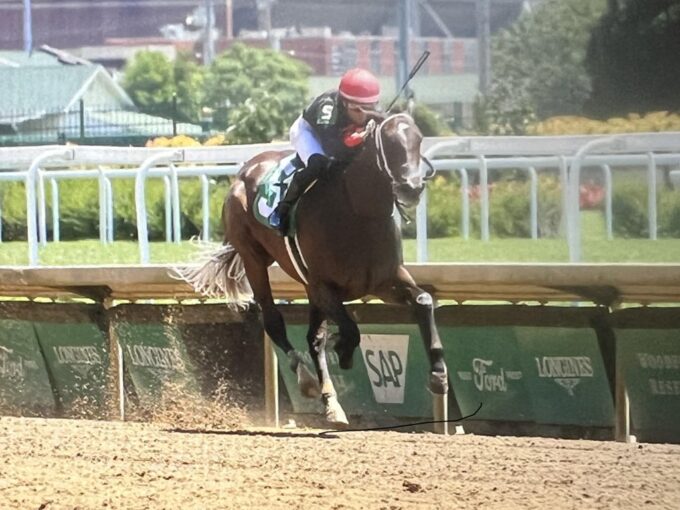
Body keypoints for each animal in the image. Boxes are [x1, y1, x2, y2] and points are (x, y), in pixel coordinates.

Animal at [178, 113, 448, 424]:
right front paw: (343, 351)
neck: (358, 212)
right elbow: (350, 329)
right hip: (253, 259)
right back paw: (307, 380)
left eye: (418, 139)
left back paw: (331, 403)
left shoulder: (384, 280)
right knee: (274, 322)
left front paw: (439, 374)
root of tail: (245, 171)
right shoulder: (324, 286)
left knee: (313, 339)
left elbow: (423, 300)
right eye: (390, 143)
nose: (411, 188)